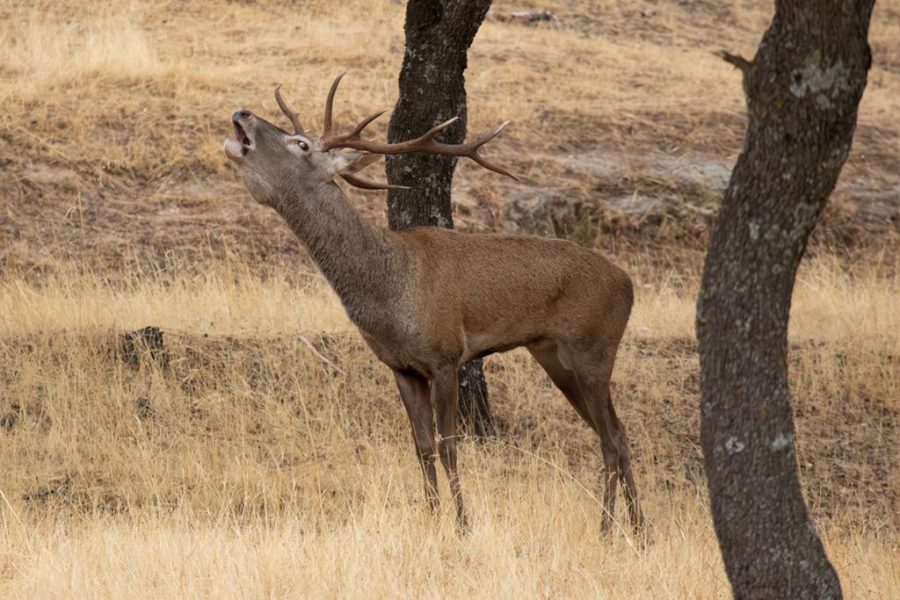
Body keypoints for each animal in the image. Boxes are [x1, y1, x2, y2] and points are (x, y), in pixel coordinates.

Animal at [224, 74, 644, 534]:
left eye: (300, 144)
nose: (242, 112)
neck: (391, 291)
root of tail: (629, 284)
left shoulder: (446, 355)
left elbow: (449, 447)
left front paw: (462, 525)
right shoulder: (402, 367)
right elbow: (422, 447)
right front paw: (431, 519)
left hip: (594, 348)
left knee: (610, 438)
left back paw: (607, 529)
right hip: (554, 355)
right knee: (618, 433)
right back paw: (639, 530)